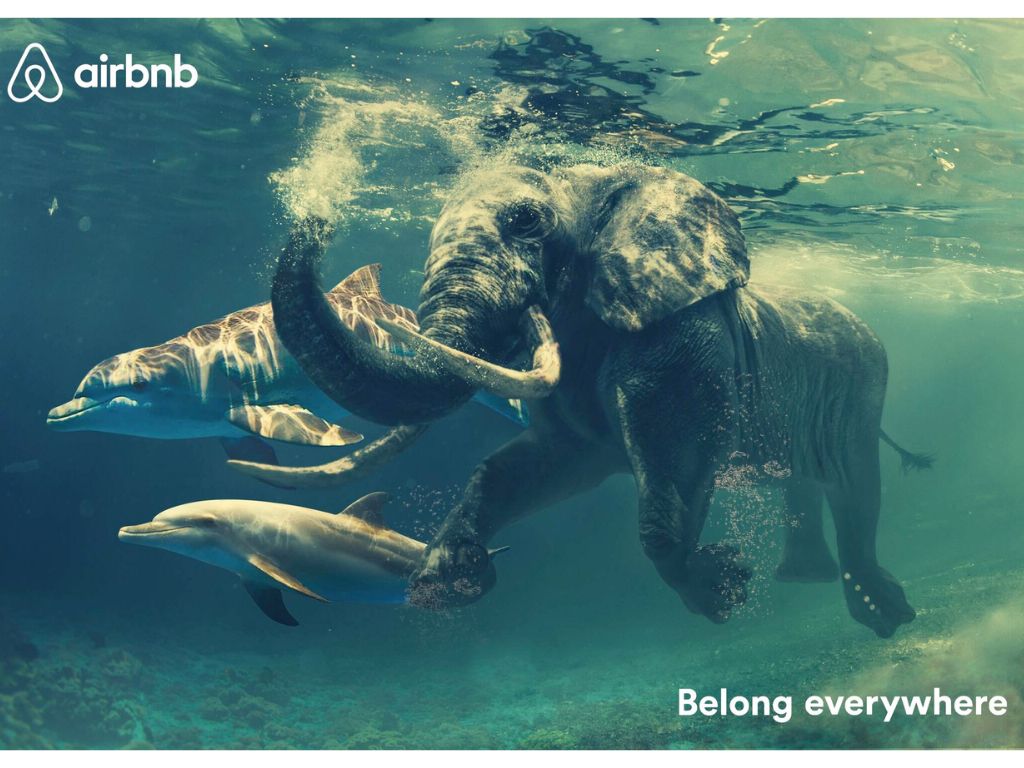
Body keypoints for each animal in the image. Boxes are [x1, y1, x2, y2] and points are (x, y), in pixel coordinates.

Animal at [269, 163, 928, 638]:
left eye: (525, 221)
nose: (316, 211)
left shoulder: (679, 334)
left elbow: (678, 458)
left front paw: (721, 591)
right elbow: (531, 466)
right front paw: (451, 575)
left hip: (862, 388)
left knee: (855, 488)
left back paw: (882, 614)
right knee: (805, 482)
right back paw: (806, 579)